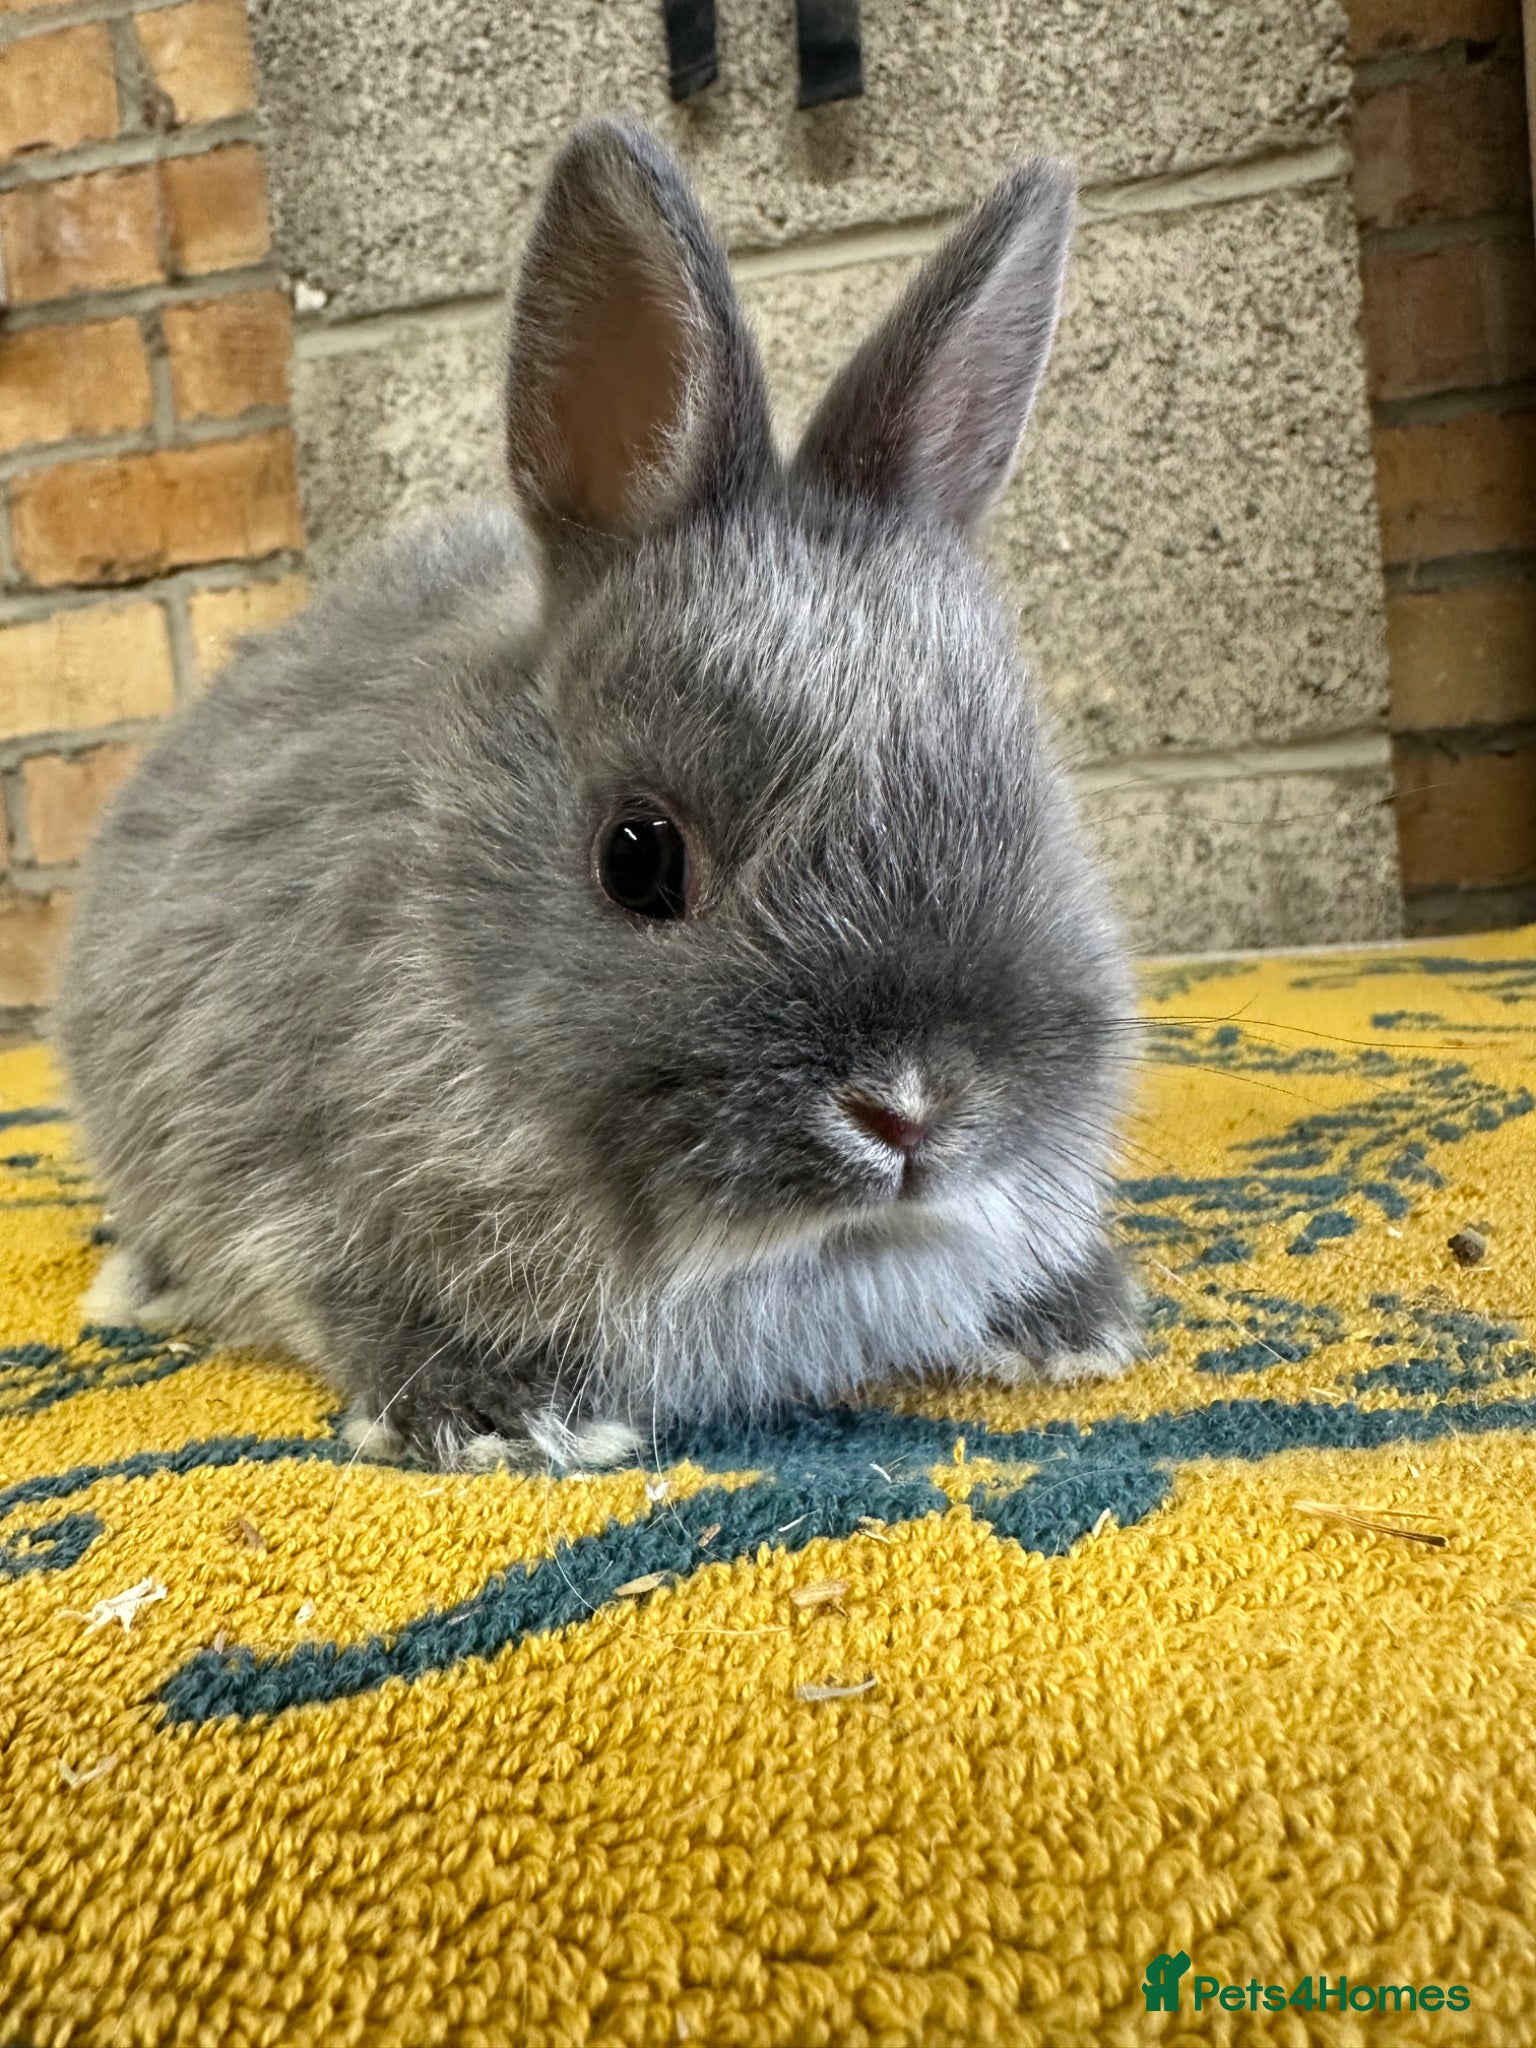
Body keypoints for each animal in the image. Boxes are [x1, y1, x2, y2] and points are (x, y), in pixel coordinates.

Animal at [56, 117, 1142, 1473]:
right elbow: (336, 1285)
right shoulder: (265, 1145)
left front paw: (1076, 1320)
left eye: (1034, 811)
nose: (911, 1112)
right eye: (639, 856)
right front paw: (497, 1413)